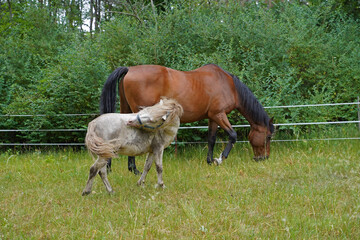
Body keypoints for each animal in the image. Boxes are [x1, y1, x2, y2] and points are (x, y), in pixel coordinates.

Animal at [100, 62, 274, 173]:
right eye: (268, 137)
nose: (263, 158)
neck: (229, 85)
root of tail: (129, 70)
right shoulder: (219, 114)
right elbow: (233, 135)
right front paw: (220, 159)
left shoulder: (213, 117)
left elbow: (211, 139)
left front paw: (210, 161)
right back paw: (133, 169)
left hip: (126, 109)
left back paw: (116, 168)